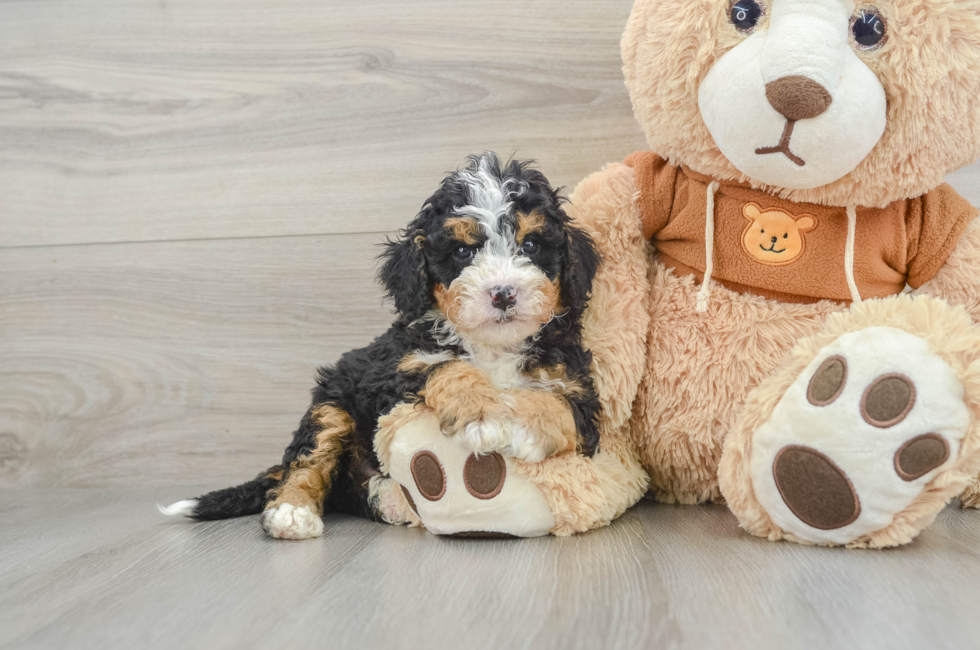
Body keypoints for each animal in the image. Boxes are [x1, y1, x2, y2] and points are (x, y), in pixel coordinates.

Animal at [161, 151, 600, 536]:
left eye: (530, 245)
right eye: (462, 251)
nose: (503, 293)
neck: (492, 347)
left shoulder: (580, 389)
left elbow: (559, 405)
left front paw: (521, 423)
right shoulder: (389, 371)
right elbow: (443, 365)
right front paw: (483, 416)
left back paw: (391, 500)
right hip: (332, 402)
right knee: (309, 460)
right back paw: (294, 511)